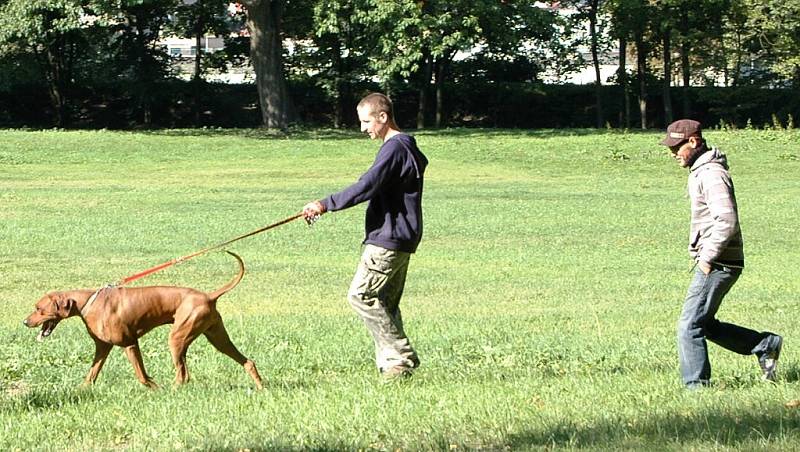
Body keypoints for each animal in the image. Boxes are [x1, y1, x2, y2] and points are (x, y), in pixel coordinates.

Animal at [22, 251, 262, 388]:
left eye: (38, 309)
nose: (25, 322)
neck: (87, 302)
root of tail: (209, 296)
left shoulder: (130, 344)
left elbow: (142, 376)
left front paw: (155, 388)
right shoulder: (102, 348)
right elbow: (91, 374)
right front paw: (80, 391)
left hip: (177, 338)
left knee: (182, 374)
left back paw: (172, 391)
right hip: (216, 337)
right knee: (247, 361)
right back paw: (261, 386)